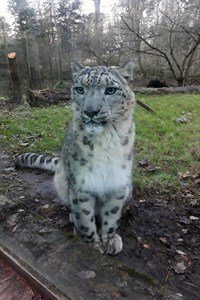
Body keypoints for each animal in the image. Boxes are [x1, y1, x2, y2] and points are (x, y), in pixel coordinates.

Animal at [14, 61, 135, 255]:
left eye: (110, 90)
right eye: (80, 89)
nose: (90, 111)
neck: (106, 140)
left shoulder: (117, 180)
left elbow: (112, 214)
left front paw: (109, 239)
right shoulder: (81, 183)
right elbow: (84, 218)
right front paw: (91, 246)